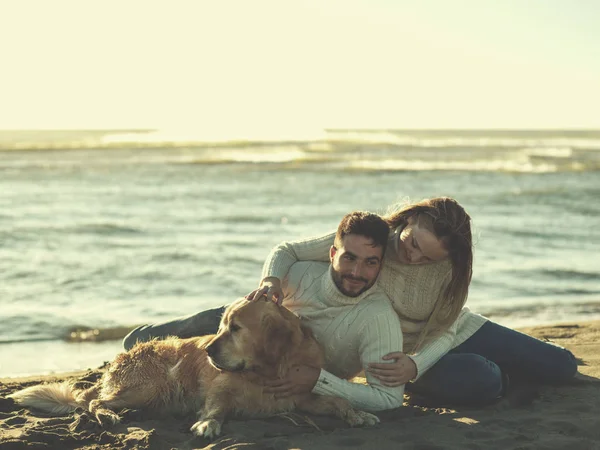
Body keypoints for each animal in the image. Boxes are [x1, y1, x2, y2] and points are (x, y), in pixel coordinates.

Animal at [7, 298, 378, 440]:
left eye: (236, 328)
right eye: (221, 325)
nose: (208, 349)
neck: (266, 371)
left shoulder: (299, 394)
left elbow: (338, 400)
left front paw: (359, 414)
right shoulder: (219, 388)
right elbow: (216, 406)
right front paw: (207, 424)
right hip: (153, 385)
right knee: (94, 402)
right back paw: (109, 416)